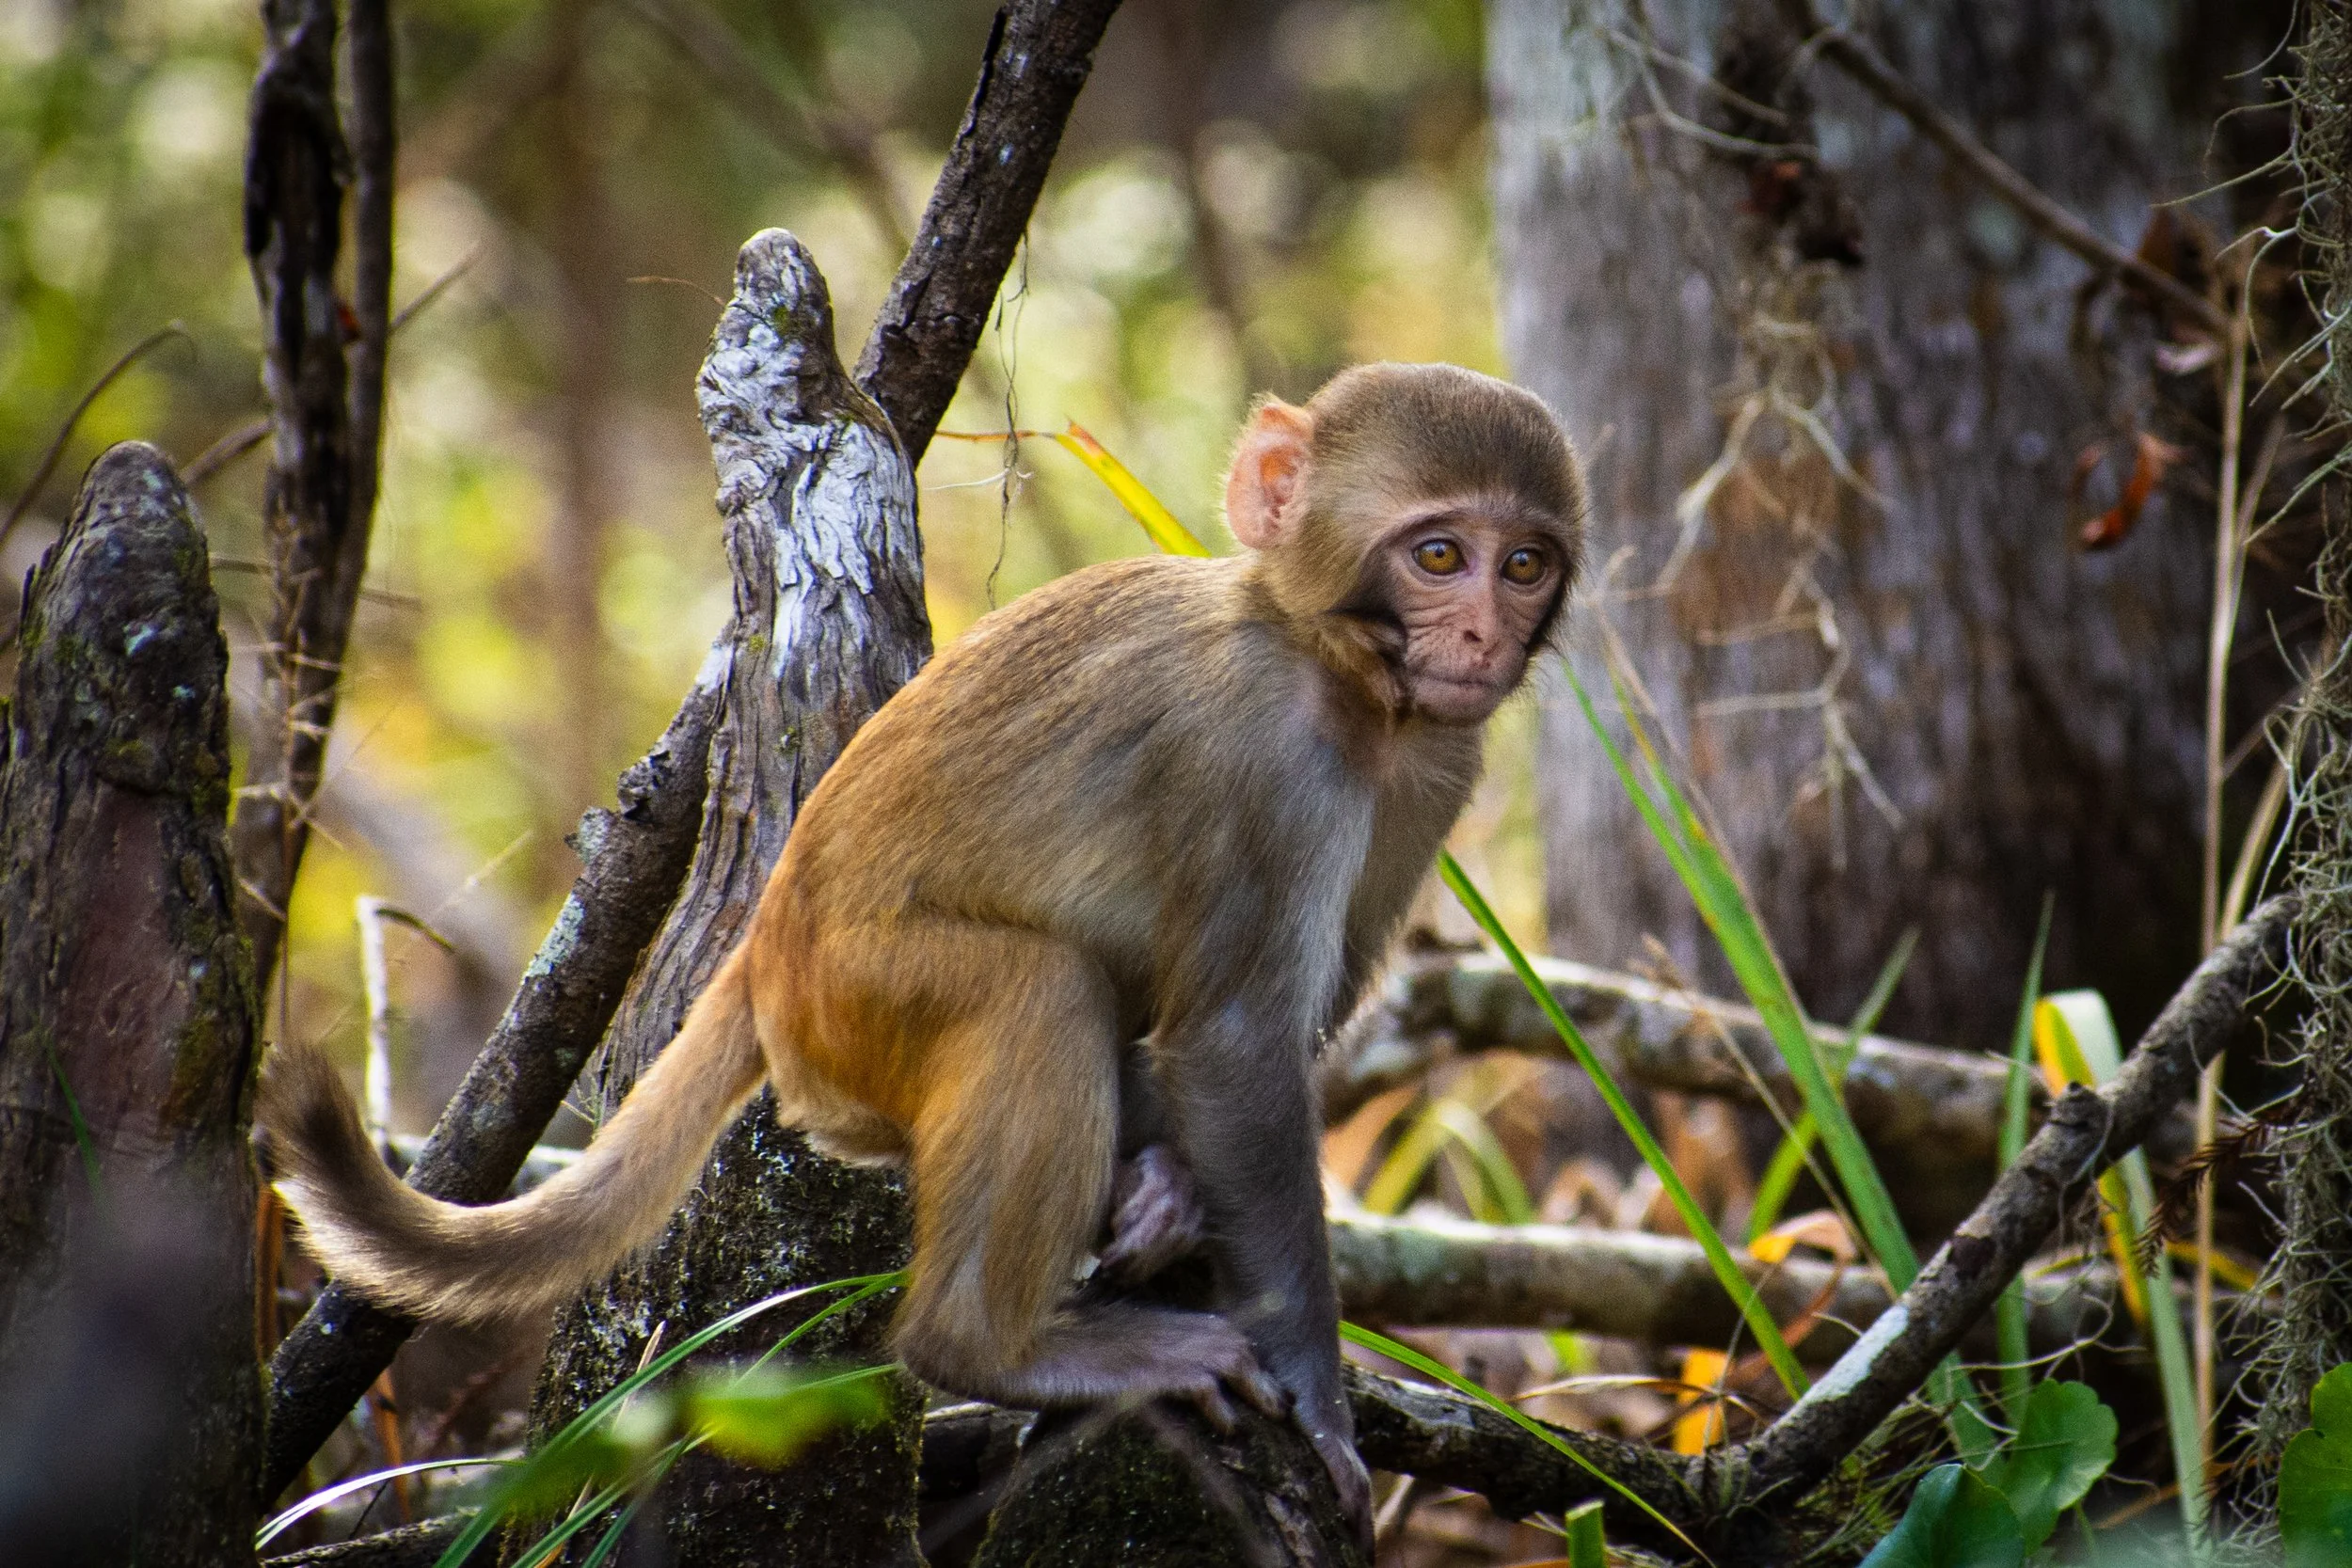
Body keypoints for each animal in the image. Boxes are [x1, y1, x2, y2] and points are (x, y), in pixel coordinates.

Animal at [263, 360, 1585, 1543]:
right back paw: (990, 1345)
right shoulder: (1268, 752)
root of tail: (763, 946)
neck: (1332, 665)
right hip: (856, 1004)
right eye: (1436, 555)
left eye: (1523, 563)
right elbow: (1236, 1041)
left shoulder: (1435, 762)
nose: (1479, 630)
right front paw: (1315, 1395)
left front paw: (1170, 1185)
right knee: (1035, 988)